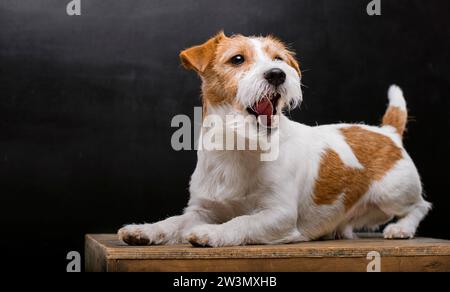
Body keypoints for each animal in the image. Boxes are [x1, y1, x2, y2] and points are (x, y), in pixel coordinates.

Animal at [118, 32, 430, 246]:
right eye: (237, 59)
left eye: (278, 58)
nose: (278, 74)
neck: (239, 146)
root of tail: (387, 132)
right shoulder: (202, 209)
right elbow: (174, 221)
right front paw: (145, 230)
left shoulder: (278, 215)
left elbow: (242, 221)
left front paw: (213, 233)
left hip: (394, 192)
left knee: (419, 206)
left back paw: (401, 229)